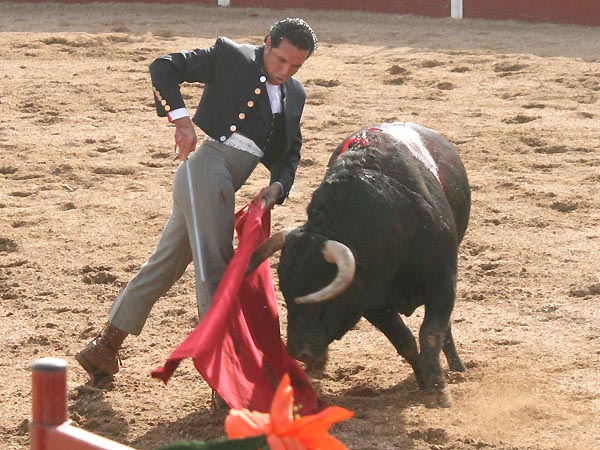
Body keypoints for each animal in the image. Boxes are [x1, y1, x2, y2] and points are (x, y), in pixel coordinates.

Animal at [248, 122, 468, 408]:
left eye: (322, 295)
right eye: (284, 294)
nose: (298, 351)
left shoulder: (443, 281)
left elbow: (430, 332)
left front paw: (437, 390)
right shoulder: (371, 303)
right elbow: (404, 340)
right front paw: (423, 381)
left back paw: (457, 366)